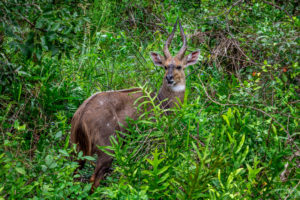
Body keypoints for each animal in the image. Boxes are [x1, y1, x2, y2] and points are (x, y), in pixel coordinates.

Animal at [71, 19, 199, 191]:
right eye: (165, 66)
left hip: (76, 149)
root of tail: (81, 115)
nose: (169, 78)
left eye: (179, 66)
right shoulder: (153, 137)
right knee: (94, 179)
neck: (162, 103)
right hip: (108, 149)